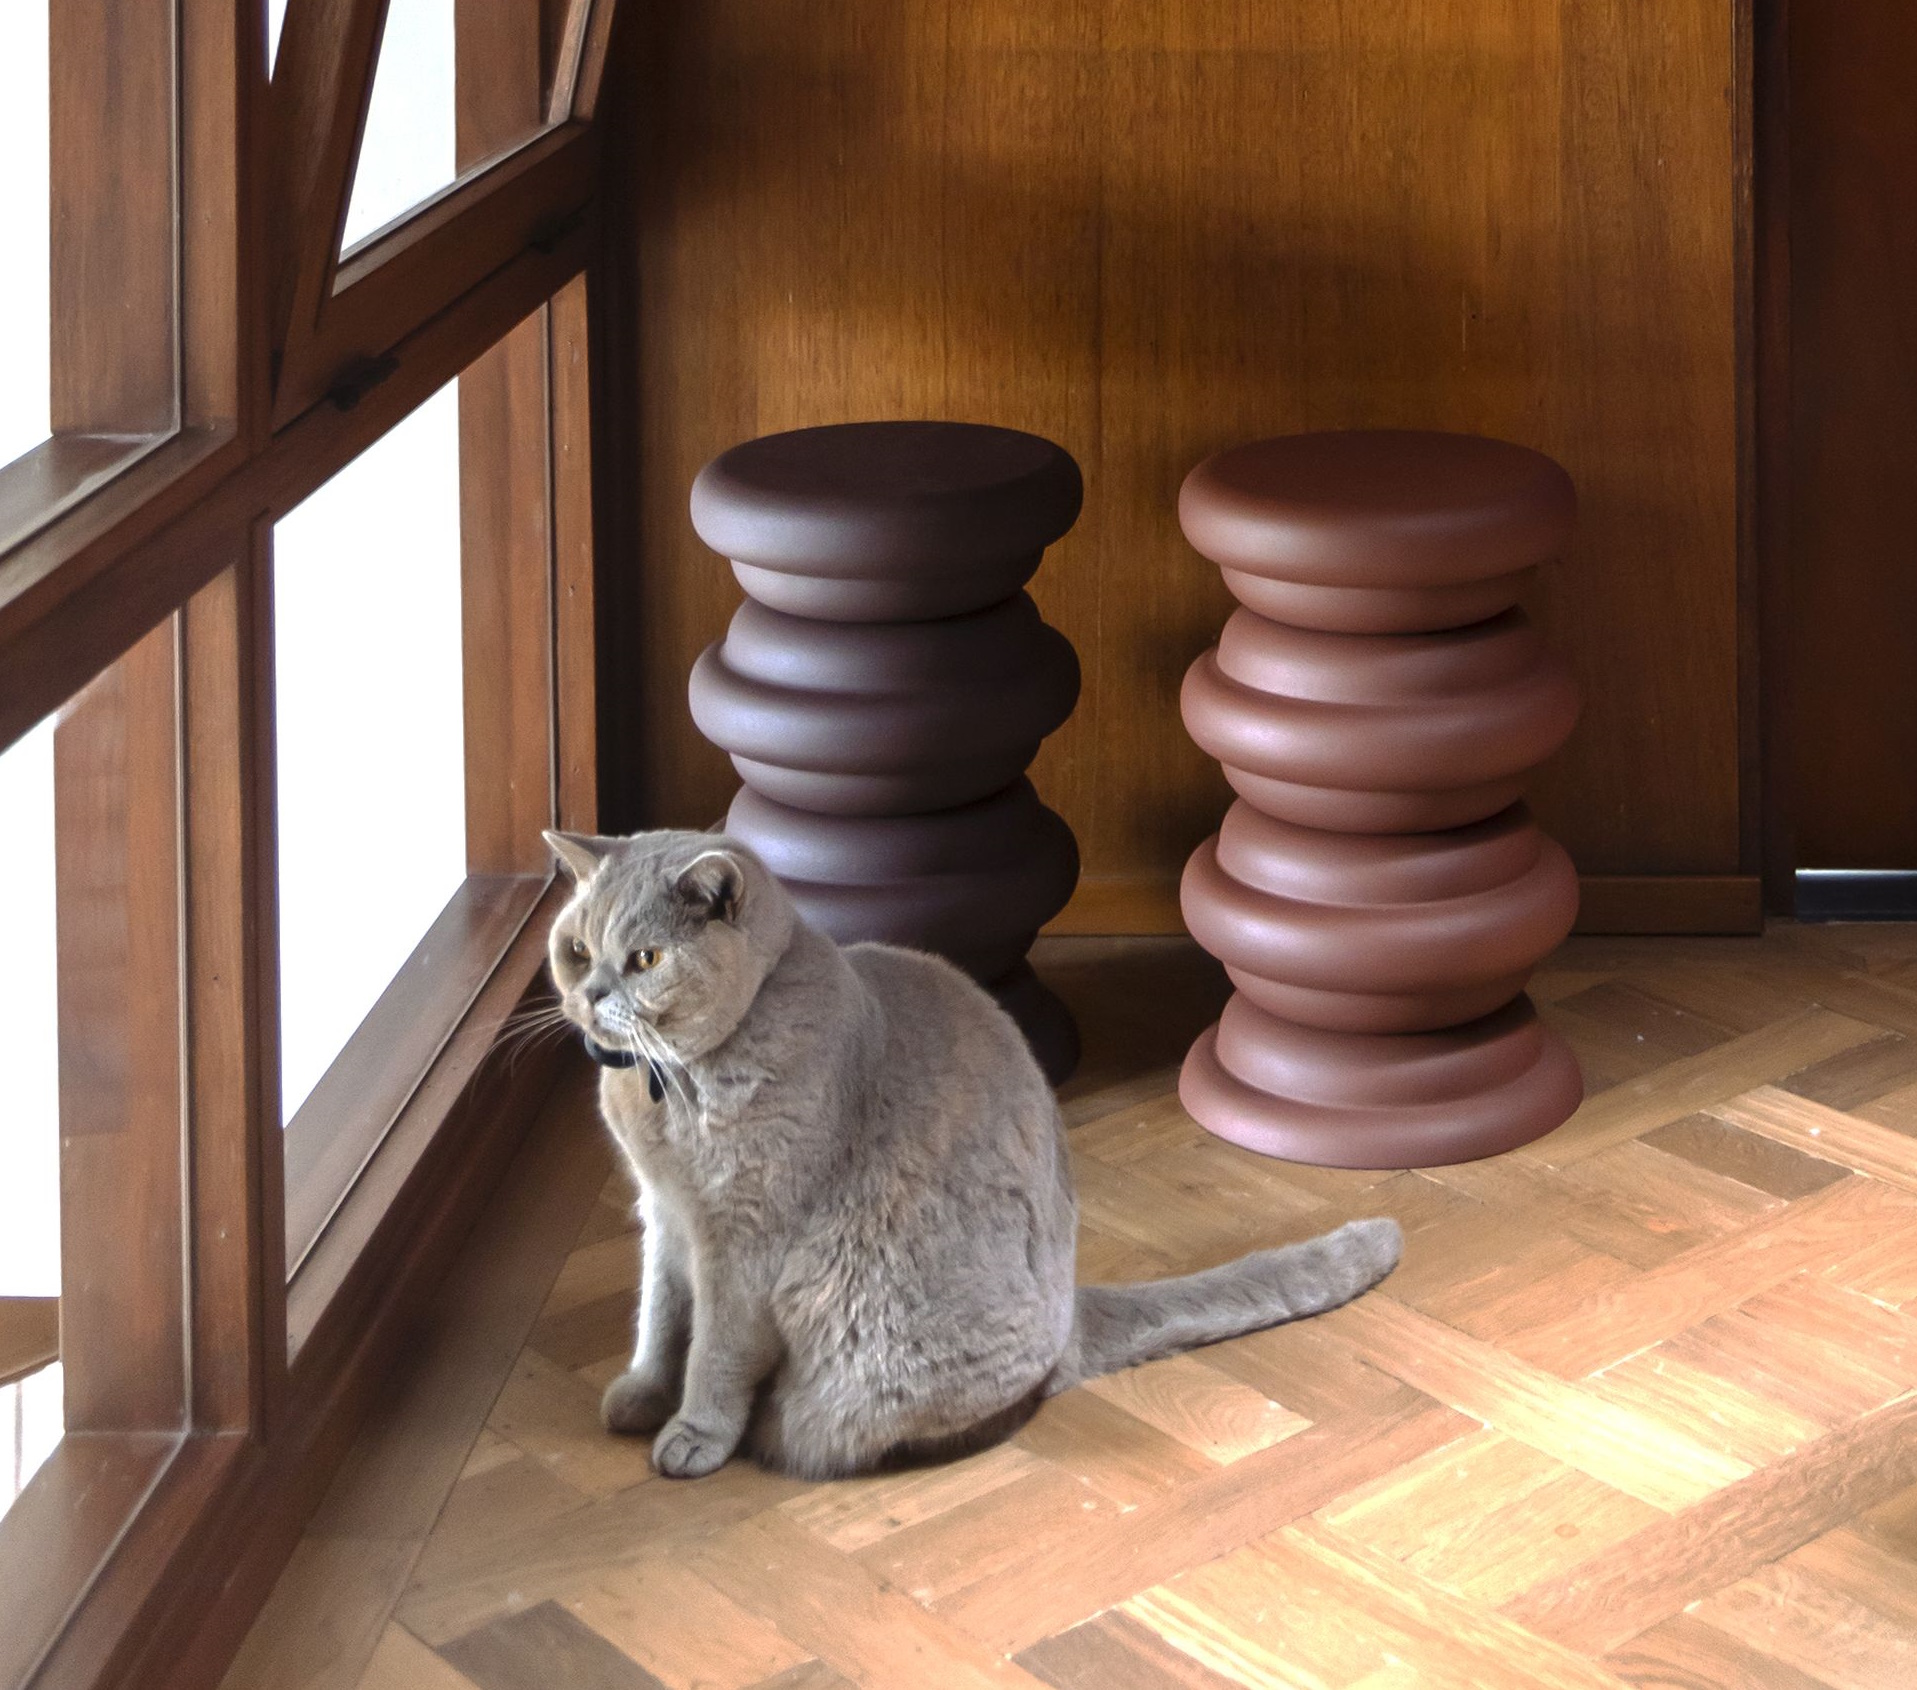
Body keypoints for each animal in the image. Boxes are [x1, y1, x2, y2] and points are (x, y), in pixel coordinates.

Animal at [548, 827, 1403, 1471]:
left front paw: (693, 1434)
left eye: (646, 960)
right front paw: (640, 1396)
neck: (670, 1092)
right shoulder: (664, 1212)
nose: (588, 995)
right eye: (577, 949)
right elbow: (660, 1316)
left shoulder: (744, 1238)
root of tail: (1072, 1310)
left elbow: (716, 1349)